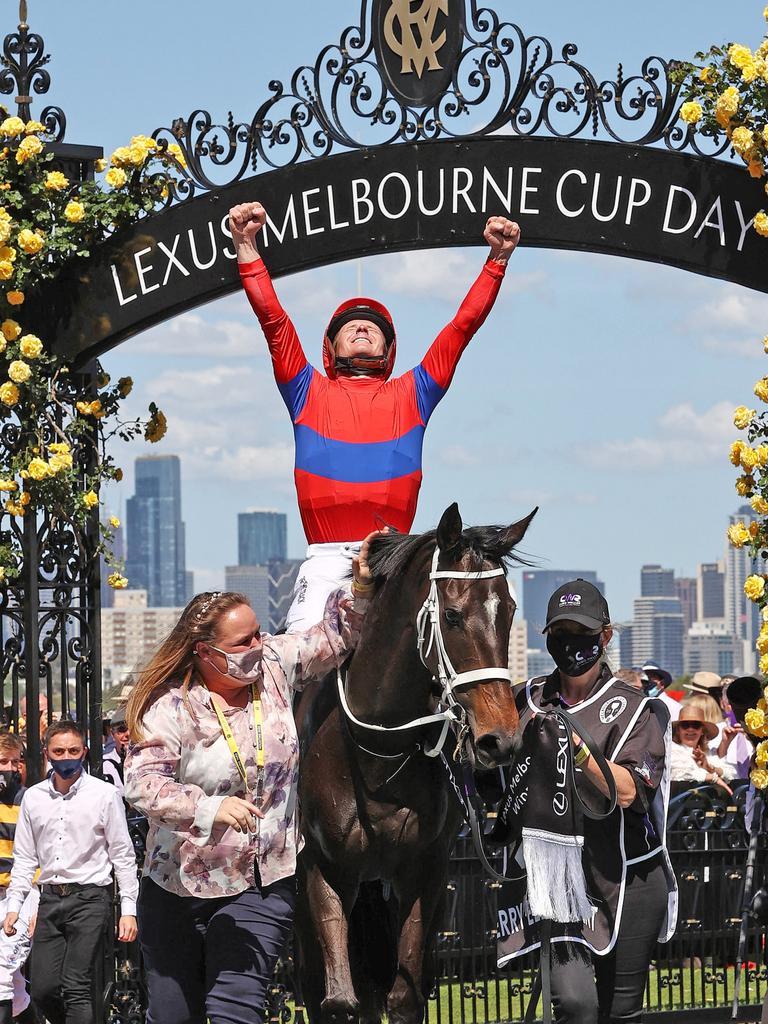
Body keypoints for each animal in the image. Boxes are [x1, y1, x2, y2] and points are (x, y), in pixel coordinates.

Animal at [292, 501, 536, 1024]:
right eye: (452, 615)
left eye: (508, 611)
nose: (500, 740)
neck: (375, 753)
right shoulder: (323, 869)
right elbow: (337, 1000)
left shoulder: (424, 871)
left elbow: (405, 996)